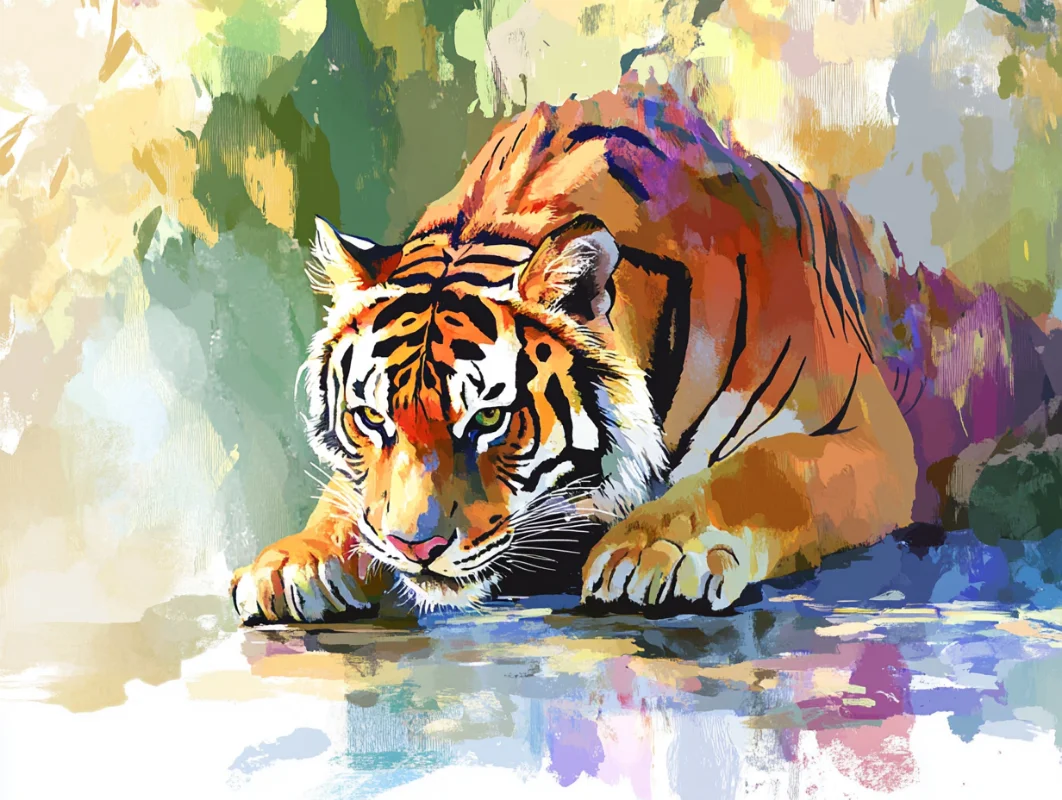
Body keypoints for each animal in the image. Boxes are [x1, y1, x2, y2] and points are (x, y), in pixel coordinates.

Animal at [231, 76, 919, 623]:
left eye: (489, 417)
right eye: (371, 418)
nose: (413, 549)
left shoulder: (869, 437)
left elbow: (762, 471)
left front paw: (651, 550)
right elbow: (348, 496)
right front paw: (292, 563)